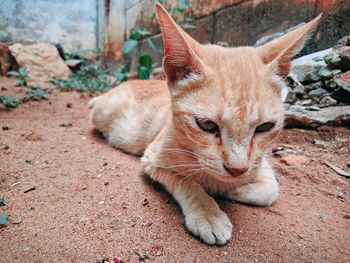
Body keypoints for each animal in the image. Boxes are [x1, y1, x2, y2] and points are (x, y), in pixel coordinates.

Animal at [89, 3, 320, 245]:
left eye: (264, 127)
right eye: (207, 125)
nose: (236, 170)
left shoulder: (260, 163)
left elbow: (270, 190)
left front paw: (231, 190)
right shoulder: (154, 159)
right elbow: (187, 181)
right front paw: (208, 212)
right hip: (104, 114)